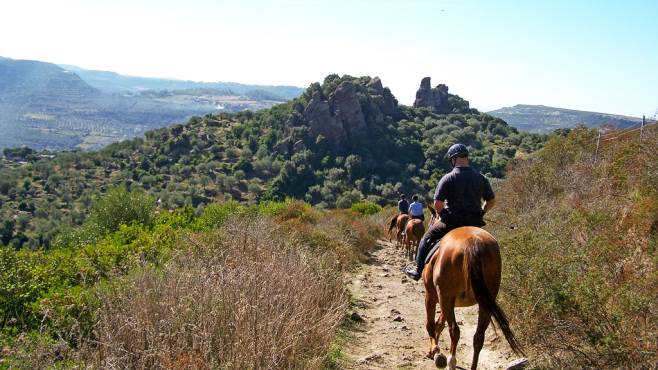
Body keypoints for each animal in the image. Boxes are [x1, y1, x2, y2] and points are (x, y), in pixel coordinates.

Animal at [420, 208, 524, 368]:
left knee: (454, 330)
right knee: (478, 337)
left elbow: (431, 324)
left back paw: (451, 361)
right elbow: (439, 323)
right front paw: (434, 350)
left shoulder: (432, 296)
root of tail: (471, 242)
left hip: (445, 297)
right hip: (485, 302)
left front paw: (435, 351)